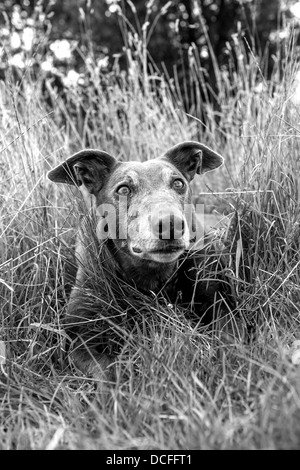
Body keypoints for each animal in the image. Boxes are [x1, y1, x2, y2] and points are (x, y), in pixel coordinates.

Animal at [47, 141, 226, 380]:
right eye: (123, 189)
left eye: (178, 183)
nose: (171, 224)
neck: (150, 273)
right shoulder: (80, 339)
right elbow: (104, 370)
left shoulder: (221, 308)